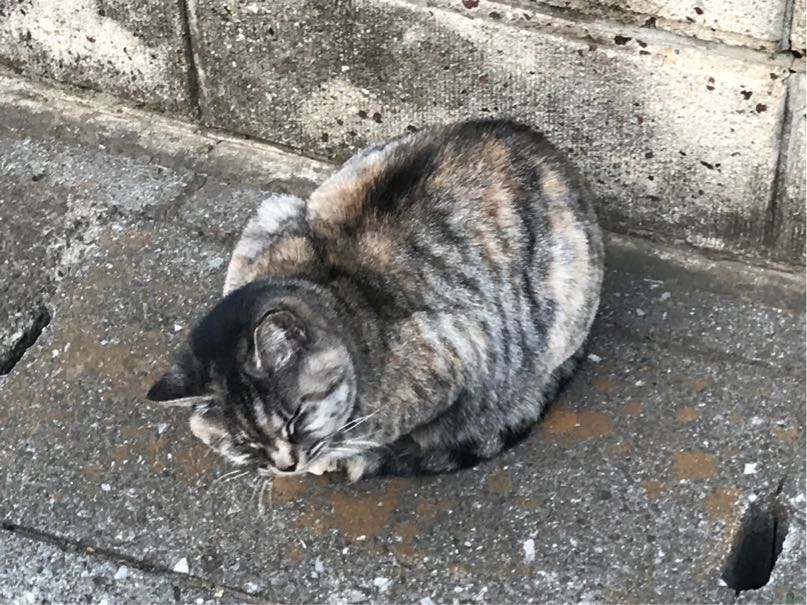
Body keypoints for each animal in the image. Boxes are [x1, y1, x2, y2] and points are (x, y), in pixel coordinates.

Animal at [147, 119, 604, 482]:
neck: (334, 295)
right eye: (243, 443)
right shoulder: (269, 218)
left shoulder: (464, 353)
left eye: (295, 419)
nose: (285, 467)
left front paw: (335, 456)